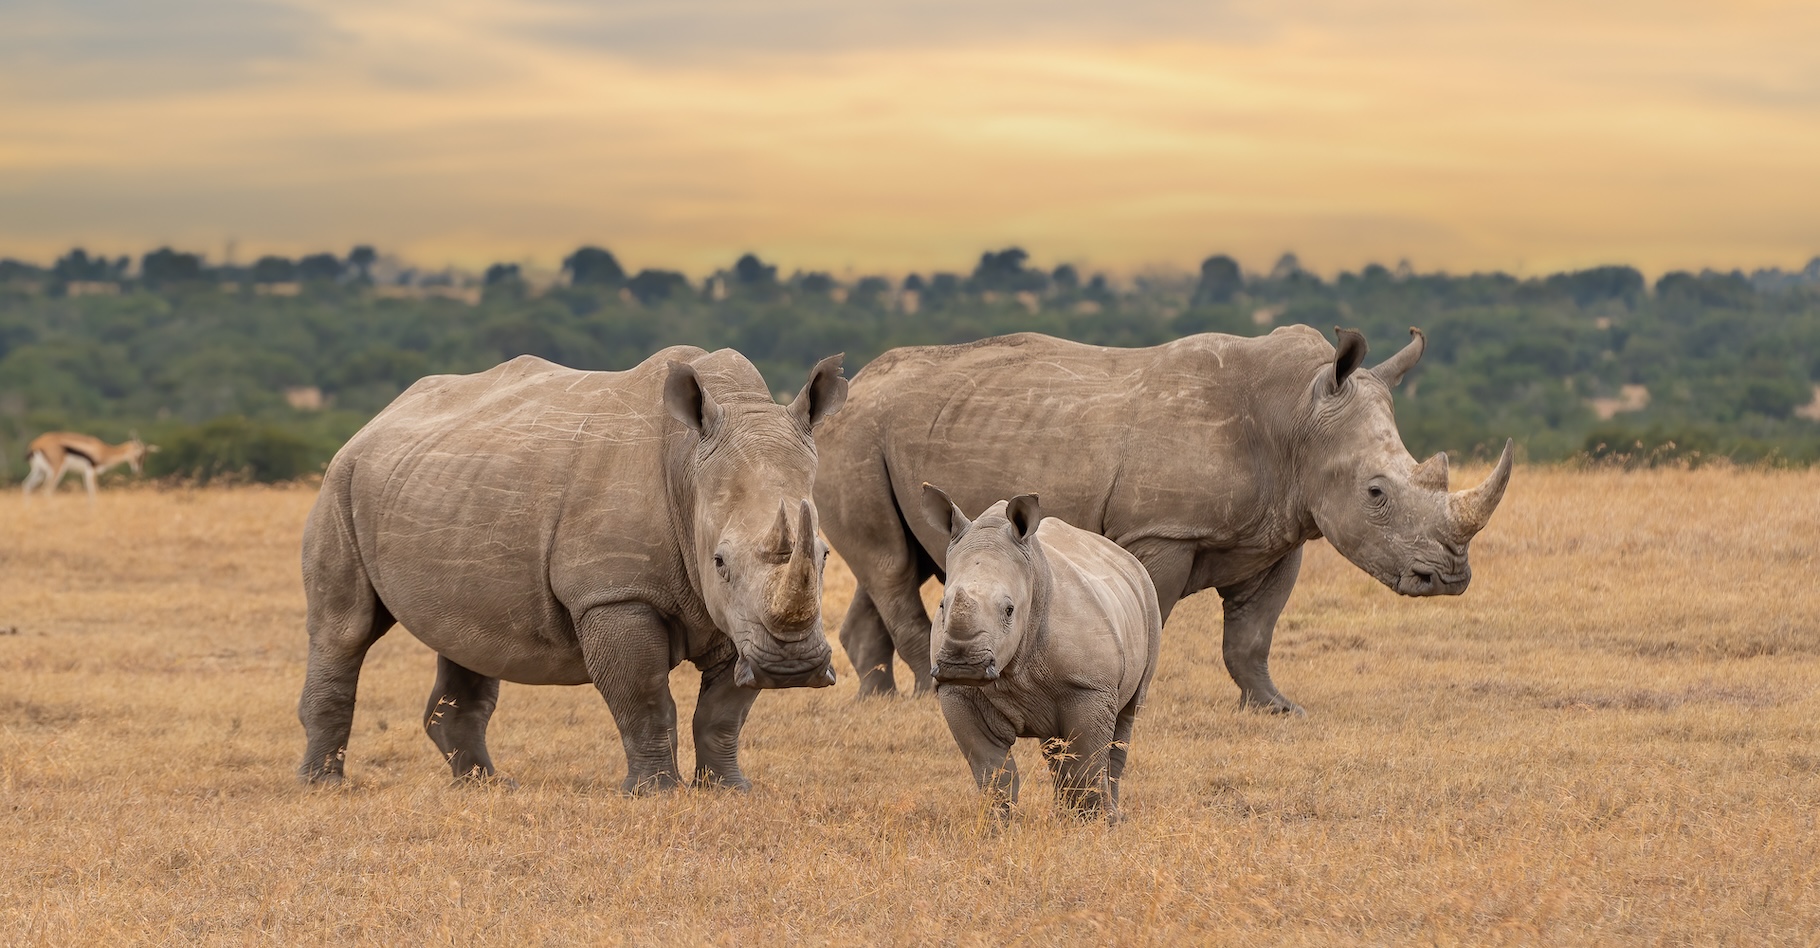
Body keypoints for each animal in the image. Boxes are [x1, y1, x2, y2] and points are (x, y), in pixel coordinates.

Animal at [22, 431, 158, 498]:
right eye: (139, 455)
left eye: (145, 456)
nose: (138, 470)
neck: (104, 451)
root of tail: (36, 444)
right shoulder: (91, 471)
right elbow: (94, 492)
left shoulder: (86, 473)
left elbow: (89, 493)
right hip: (56, 470)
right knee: (47, 490)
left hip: (39, 471)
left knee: (27, 486)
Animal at [917, 484, 1157, 815]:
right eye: (942, 605)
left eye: (1009, 610)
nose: (962, 666)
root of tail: (1125, 556)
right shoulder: (956, 691)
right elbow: (992, 771)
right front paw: (996, 823)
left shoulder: (1091, 686)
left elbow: (1087, 764)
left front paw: (1092, 823)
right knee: (1055, 747)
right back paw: (1064, 814)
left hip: (1148, 597)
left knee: (1125, 721)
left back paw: (1110, 816)